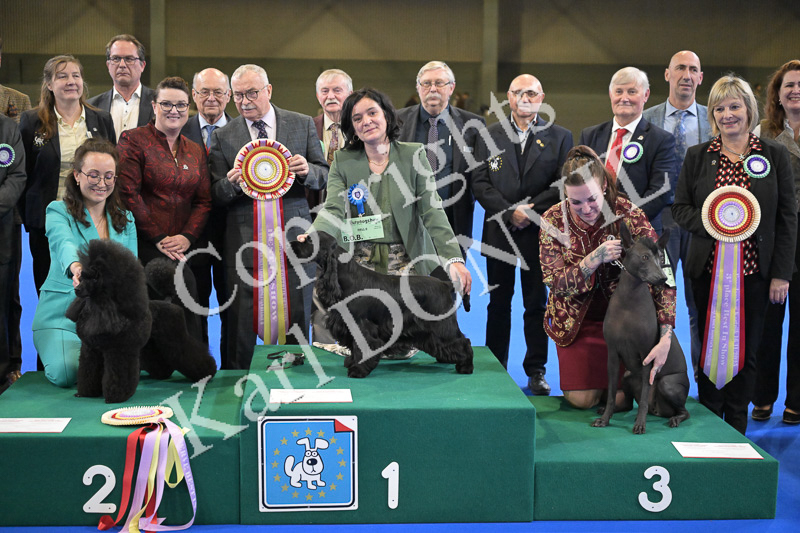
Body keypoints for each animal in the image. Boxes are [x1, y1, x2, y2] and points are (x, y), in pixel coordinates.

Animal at [67, 240, 217, 403]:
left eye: (95, 278)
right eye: (82, 276)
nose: (77, 289)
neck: (100, 309)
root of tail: (168, 301)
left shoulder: (119, 350)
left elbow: (117, 375)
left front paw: (115, 396)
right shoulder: (90, 350)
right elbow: (88, 372)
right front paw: (85, 392)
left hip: (175, 336)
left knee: (189, 352)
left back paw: (207, 373)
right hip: (151, 342)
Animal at [290, 231, 474, 378]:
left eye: (309, 241)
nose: (290, 243)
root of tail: (445, 284)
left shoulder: (362, 325)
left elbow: (362, 348)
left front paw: (358, 370)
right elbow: (355, 348)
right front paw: (351, 362)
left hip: (441, 325)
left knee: (463, 342)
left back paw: (465, 367)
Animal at [591, 224, 690, 434]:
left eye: (661, 258)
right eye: (644, 257)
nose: (663, 278)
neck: (629, 302)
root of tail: (659, 410)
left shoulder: (648, 358)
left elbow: (643, 399)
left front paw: (640, 424)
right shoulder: (612, 356)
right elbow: (611, 394)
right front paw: (604, 419)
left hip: (668, 384)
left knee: (683, 411)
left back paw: (674, 419)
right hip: (628, 375)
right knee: (628, 403)